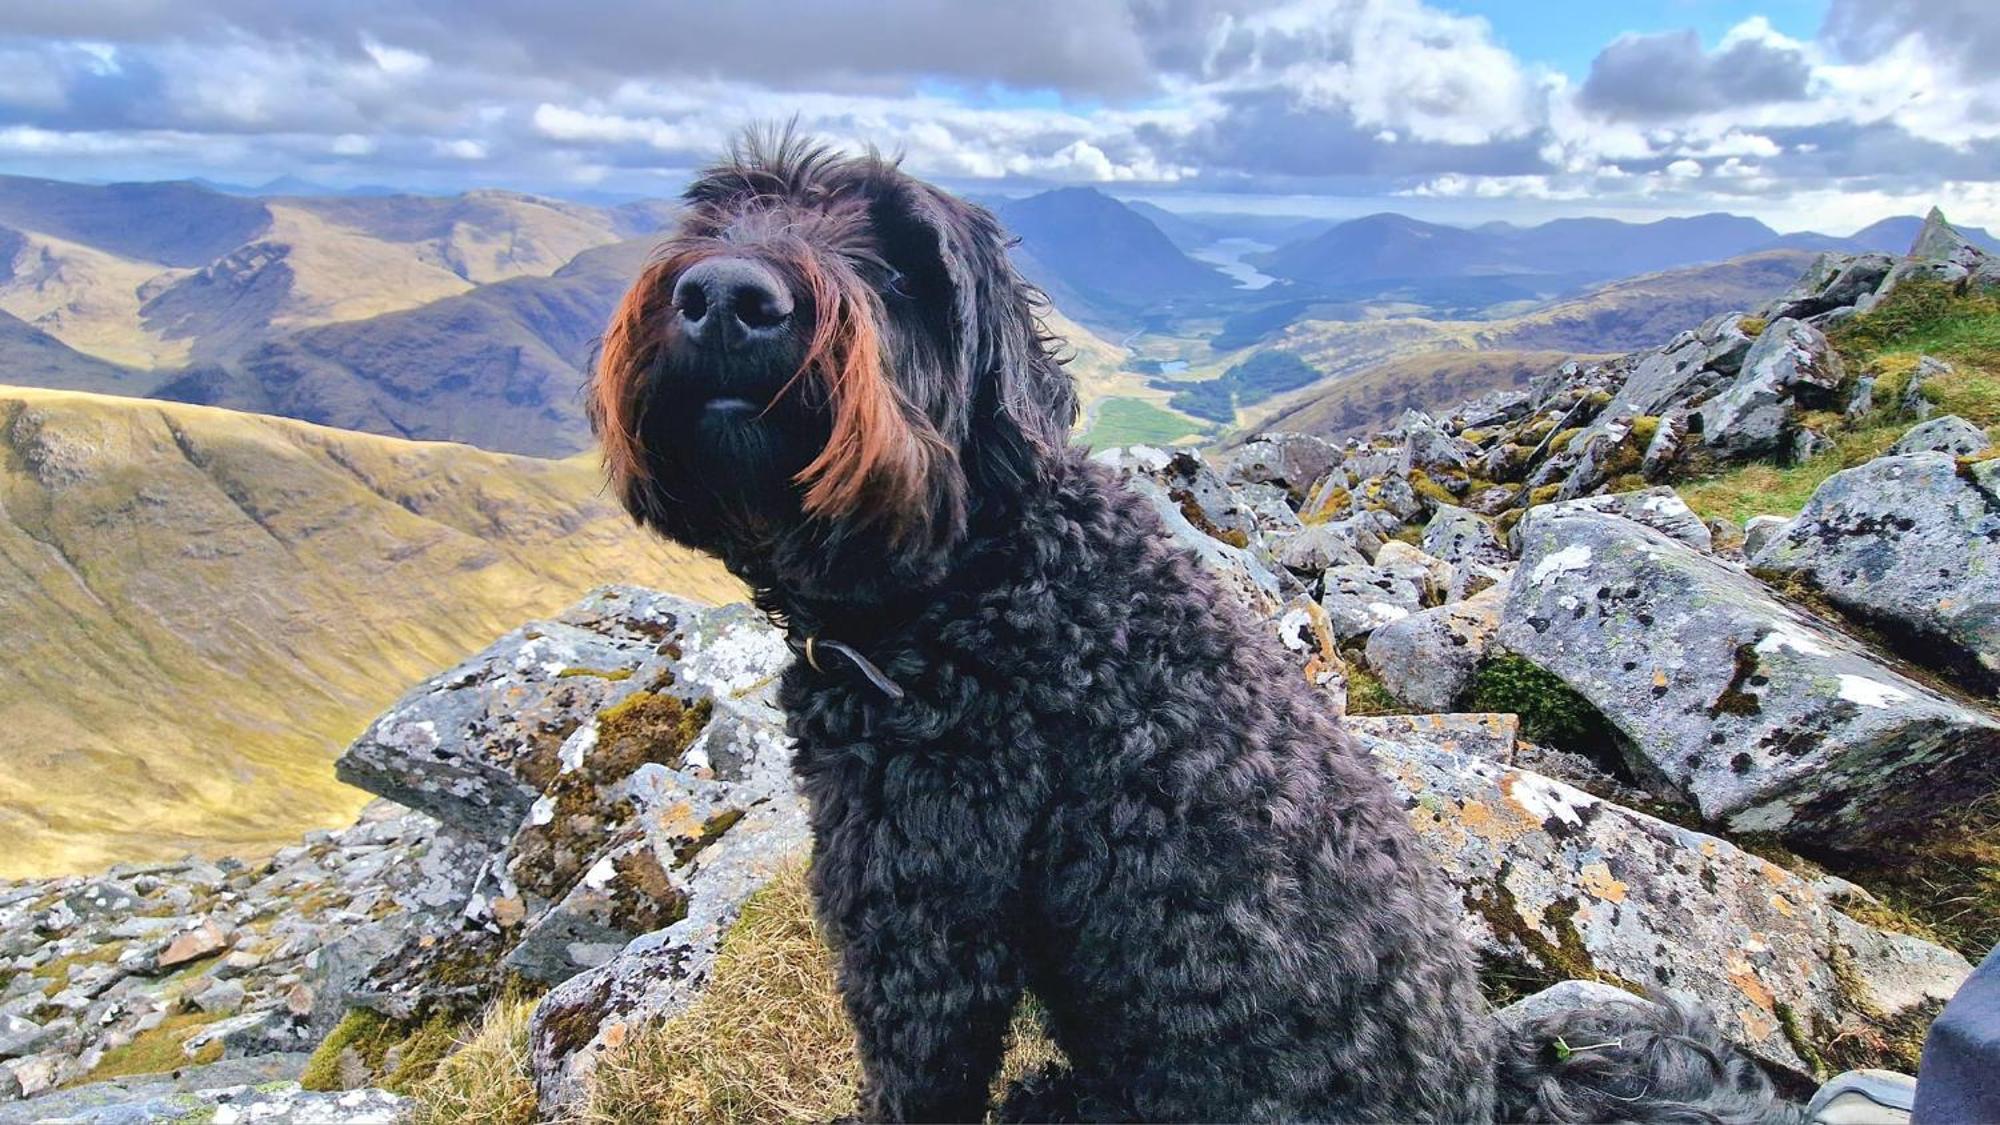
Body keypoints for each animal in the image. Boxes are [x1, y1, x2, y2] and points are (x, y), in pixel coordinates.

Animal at [592, 133, 1800, 1120]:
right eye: (714, 218)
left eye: (899, 265)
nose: (724, 294)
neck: (976, 582)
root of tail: (1487, 1088)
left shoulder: (926, 924)